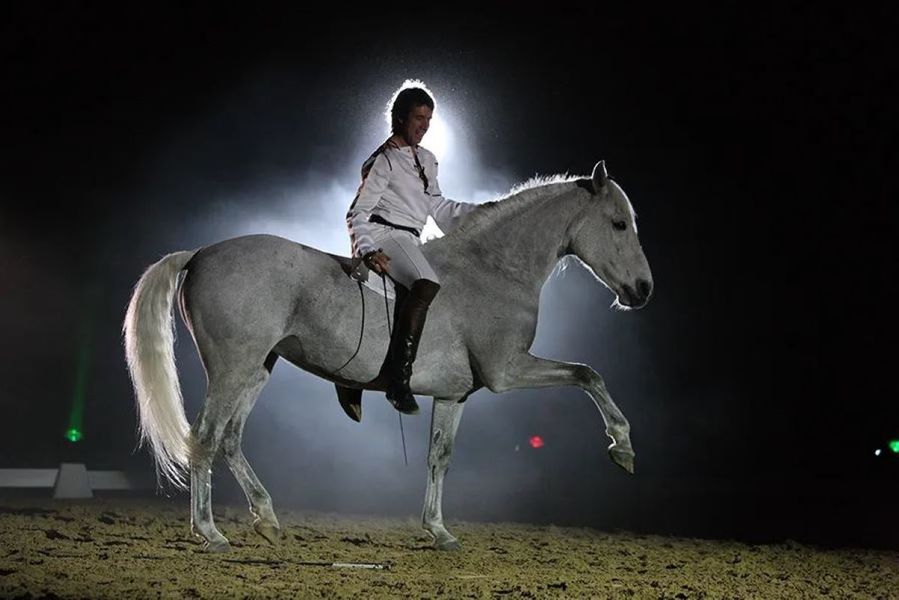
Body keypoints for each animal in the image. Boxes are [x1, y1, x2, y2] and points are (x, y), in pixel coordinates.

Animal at [121, 161, 652, 552]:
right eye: (618, 224)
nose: (643, 290)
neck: (494, 268)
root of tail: (200, 254)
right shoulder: (509, 371)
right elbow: (588, 374)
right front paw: (622, 447)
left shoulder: (455, 395)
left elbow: (439, 457)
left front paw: (438, 530)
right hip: (233, 368)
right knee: (205, 437)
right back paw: (209, 532)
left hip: (257, 368)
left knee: (230, 438)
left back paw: (265, 517)